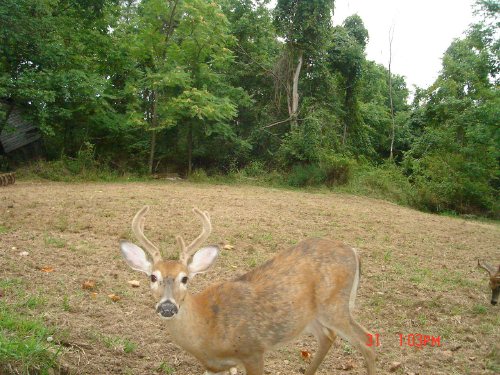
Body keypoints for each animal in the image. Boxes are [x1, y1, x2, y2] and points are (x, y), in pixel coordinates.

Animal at [120, 206, 376, 375]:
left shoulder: (252, 349)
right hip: (309, 315)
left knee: (367, 340)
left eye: (185, 278)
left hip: (334, 304)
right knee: (328, 336)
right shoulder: (215, 367)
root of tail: (354, 251)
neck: (208, 328)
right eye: (153, 276)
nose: (167, 306)